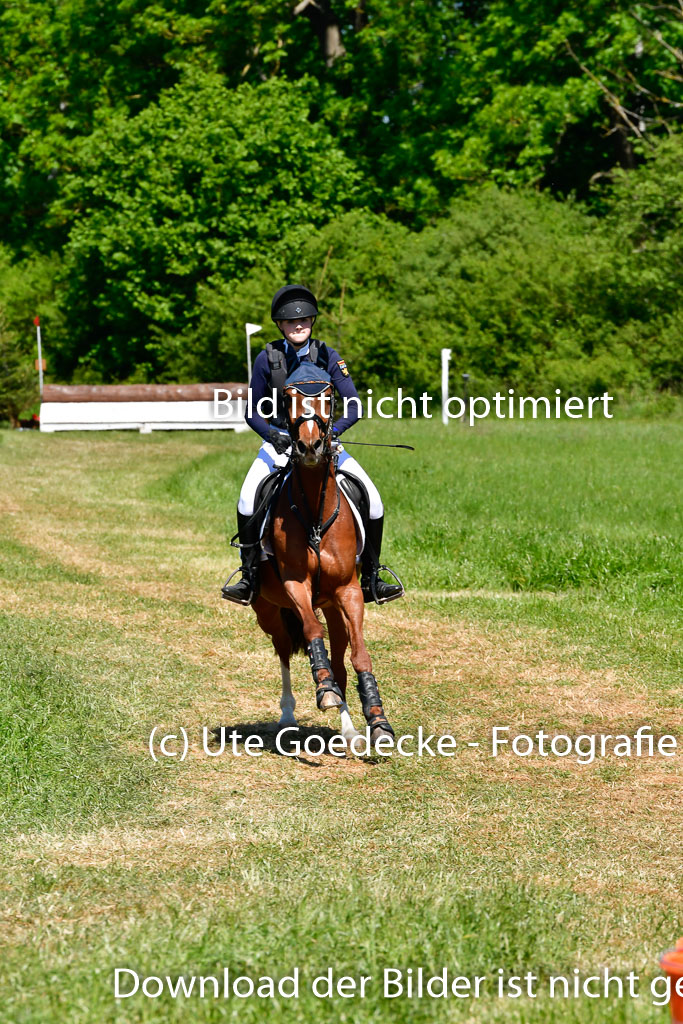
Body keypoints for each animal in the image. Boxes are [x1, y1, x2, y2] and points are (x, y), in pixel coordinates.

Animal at [249, 372, 395, 749]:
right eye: (287, 399)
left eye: (329, 397)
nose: (310, 446)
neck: (315, 514)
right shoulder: (294, 584)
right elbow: (312, 631)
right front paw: (324, 687)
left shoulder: (348, 591)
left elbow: (359, 654)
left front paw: (377, 719)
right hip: (267, 610)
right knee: (284, 648)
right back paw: (289, 713)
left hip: (331, 607)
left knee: (340, 657)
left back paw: (350, 729)